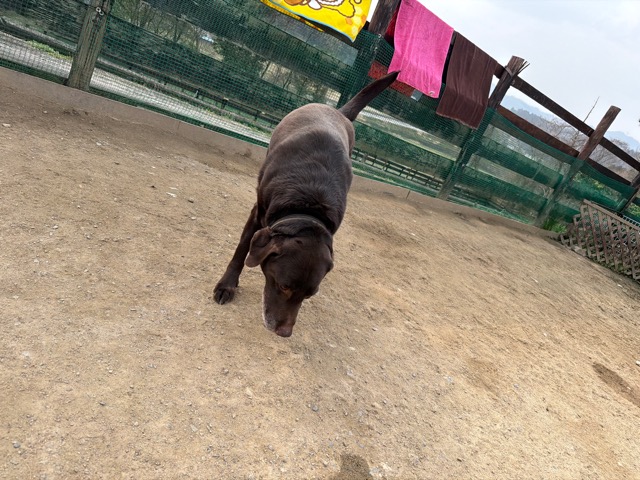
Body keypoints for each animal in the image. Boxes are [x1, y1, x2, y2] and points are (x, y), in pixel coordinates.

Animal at [213, 71, 399, 337]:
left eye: (310, 295)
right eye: (284, 286)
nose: (284, 333)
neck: (308, 204)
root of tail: (337, 110)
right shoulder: (257, 213)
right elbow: (241, 250)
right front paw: (226, 286)